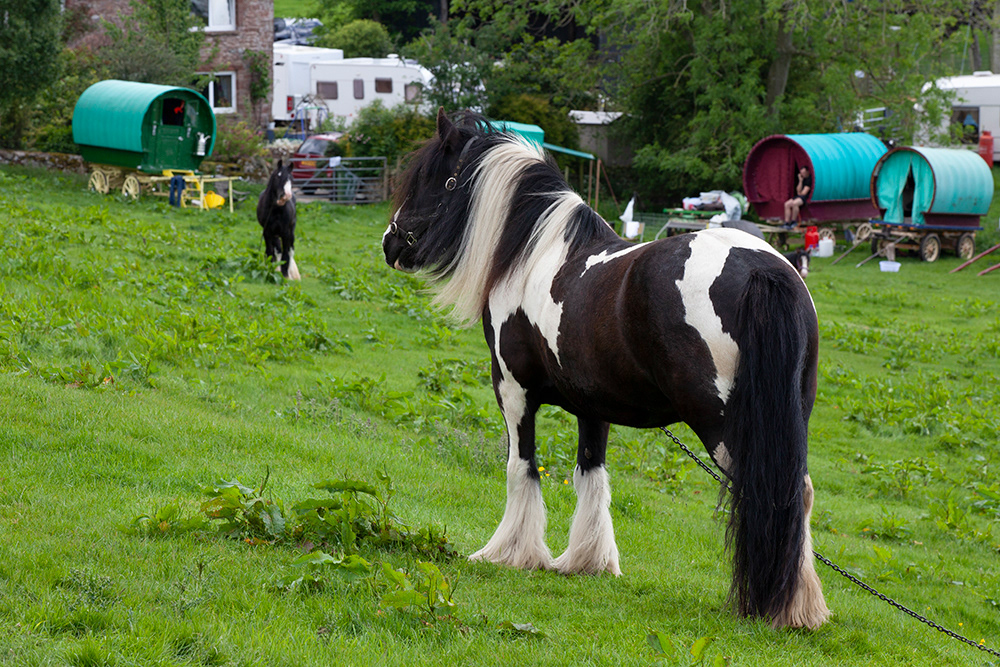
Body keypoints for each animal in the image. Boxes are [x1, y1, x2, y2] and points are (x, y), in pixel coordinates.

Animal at [382, 109, 830, 630]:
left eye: (428, 180)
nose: (391, 242)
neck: (534, 254)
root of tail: (763, 267)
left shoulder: (512, 392)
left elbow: (521, 467)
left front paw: (510, 553)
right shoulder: (592, 406)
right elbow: (590, 475)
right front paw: (587, 561)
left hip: (726, 425)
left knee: (766, 491)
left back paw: (771, 606)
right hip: (789, 418)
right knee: (798, 493)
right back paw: (800, 606)